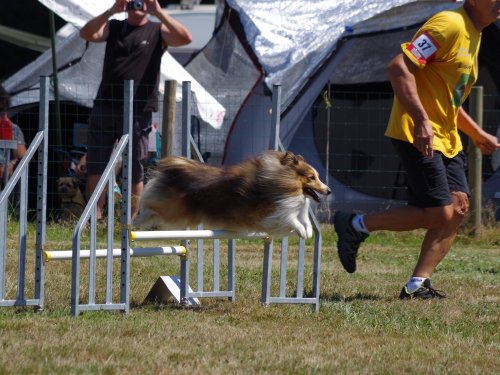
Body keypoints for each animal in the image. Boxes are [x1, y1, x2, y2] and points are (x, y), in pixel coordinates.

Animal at [133, 151, 330, 239]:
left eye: (318, 176)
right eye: (311, 177)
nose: (329, 190)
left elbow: (305, 222)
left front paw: (307, 232)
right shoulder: (271, 213)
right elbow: (290, 219)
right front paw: (302, 232)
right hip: (174, 210)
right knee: (149, 207)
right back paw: (134, 223)